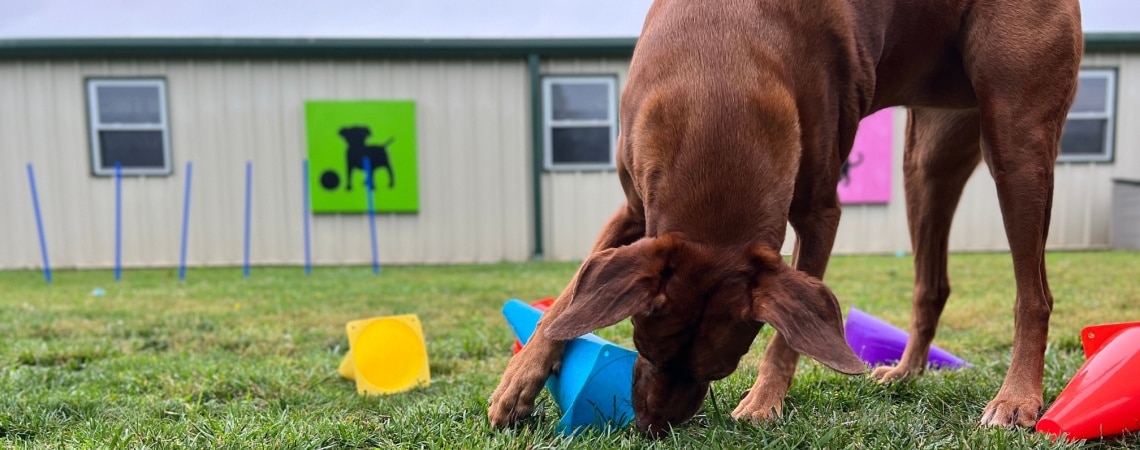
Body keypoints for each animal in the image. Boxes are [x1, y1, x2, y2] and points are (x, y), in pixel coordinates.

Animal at [485, 0, 1080, 437]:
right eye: (645, 350)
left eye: (719, 371)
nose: (653, 428)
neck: (719, 74)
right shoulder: (633, 208)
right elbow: (569, 295)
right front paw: (517, 383)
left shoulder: (820, 213)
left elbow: (788, 335)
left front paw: (764, 401)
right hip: (927, 161)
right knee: (931, 283)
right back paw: (907, 371)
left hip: (1016, 139)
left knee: (1035, 293)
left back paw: (1016, 398)